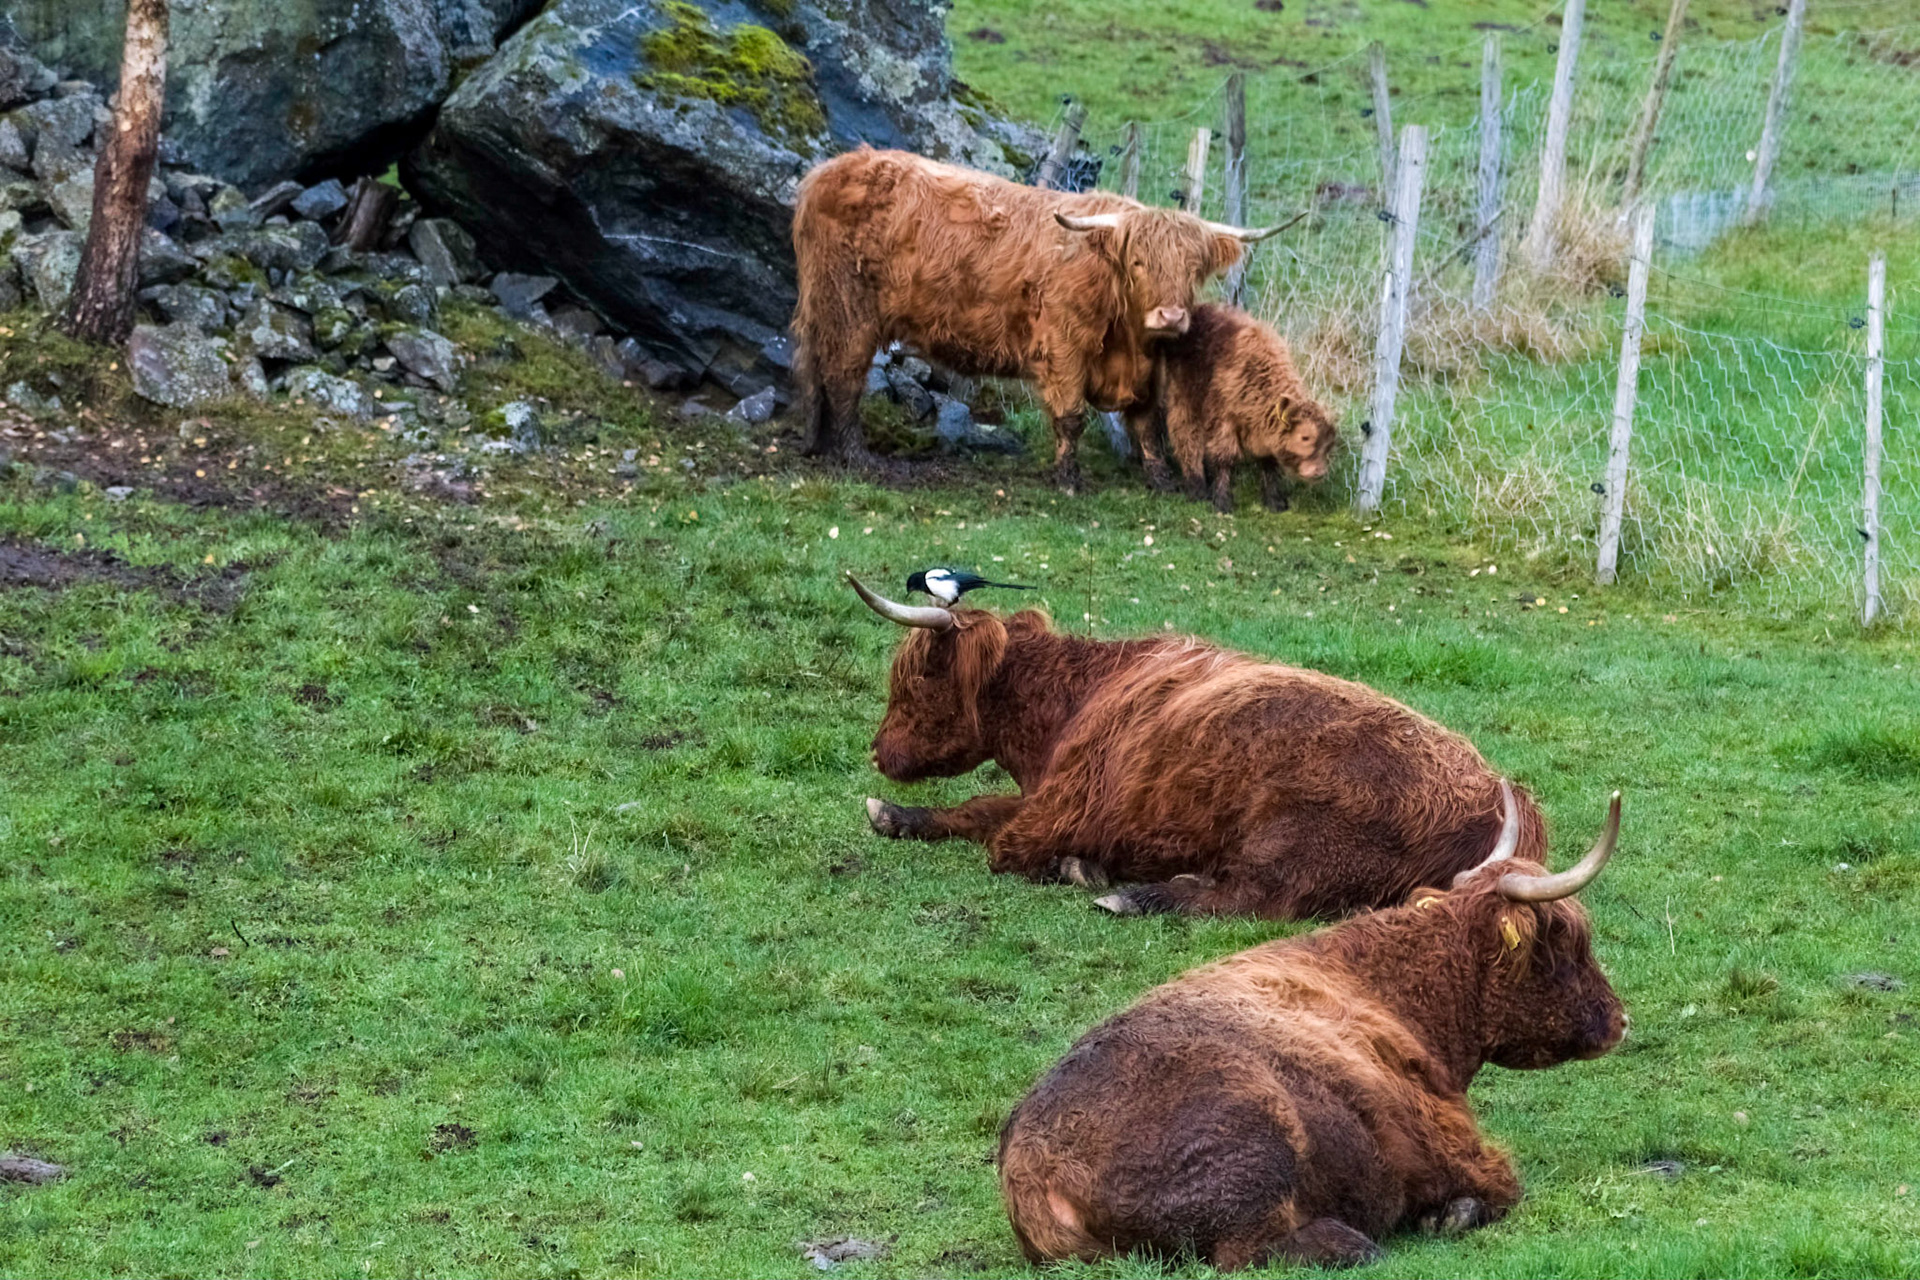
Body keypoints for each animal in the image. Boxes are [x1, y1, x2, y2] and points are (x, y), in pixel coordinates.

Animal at [790, 147, 1283, 491]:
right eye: (1139, 262)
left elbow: (1145, 423)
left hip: (824, 308)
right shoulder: (1063, 346)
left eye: (1193, 269)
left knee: (815, 373)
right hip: (848, 311)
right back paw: (857, 457)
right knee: (843, 378)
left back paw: (819, 445)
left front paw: (1160, 479)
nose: (1171, 315)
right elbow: (1071, 417)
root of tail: (827, 171)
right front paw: (1068, 479)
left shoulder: (1147, 367)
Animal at [847, 573, 1546, 919]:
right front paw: (896, 814)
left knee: (1253, 900)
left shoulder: (1058, 811)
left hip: (1297, 846)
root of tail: (1499, 806)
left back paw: (1131, 894)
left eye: (920, 677)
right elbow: (977, 808)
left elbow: (1000, 838)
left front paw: (1085, 868)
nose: (878, 751)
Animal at [999, 785, 1626, 1269]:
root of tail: (1032, 1167)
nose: (1620, 1019)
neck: (1396, 987)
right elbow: (1498, 1187)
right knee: (1250, 1252)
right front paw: (1447, 1214)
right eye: (1566, 938)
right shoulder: (1464, 1153)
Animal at [1141, 303, 1340, 513]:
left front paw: (1275, 500)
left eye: (1330, 442)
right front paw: (1222, 501)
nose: (1319, 472)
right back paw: (1197, 487)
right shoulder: (1222, 421)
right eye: (1305, 437)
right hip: (1183, 400)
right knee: (1186, 437)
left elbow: (1269, 463)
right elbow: (1224, 459)